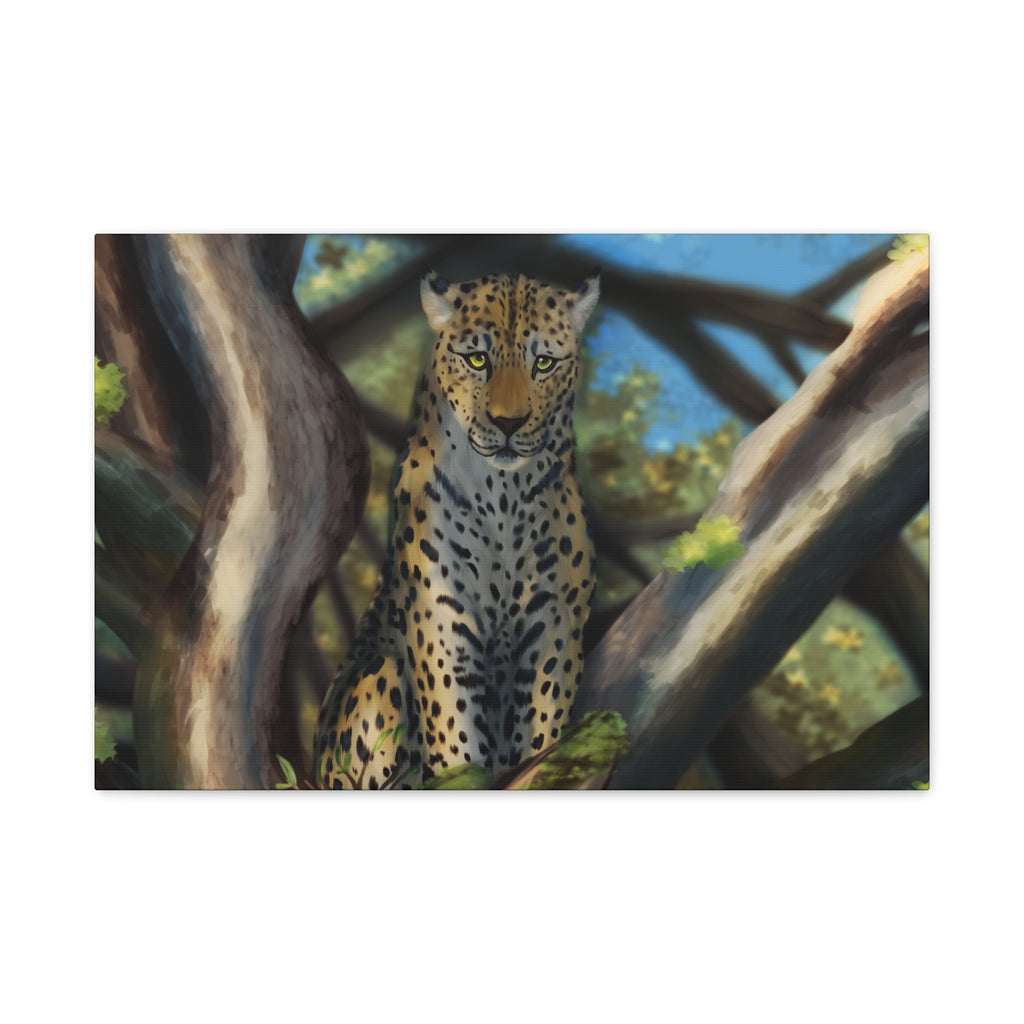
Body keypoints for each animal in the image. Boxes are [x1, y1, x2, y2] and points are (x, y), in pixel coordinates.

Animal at [313, 268, 600, 789]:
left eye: (544, 362)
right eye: (477, 359)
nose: (509, 424)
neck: (504, 494)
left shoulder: (555, 621)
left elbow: (543, 725)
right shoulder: (441, 620)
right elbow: (455, 731)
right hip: (375, 680)